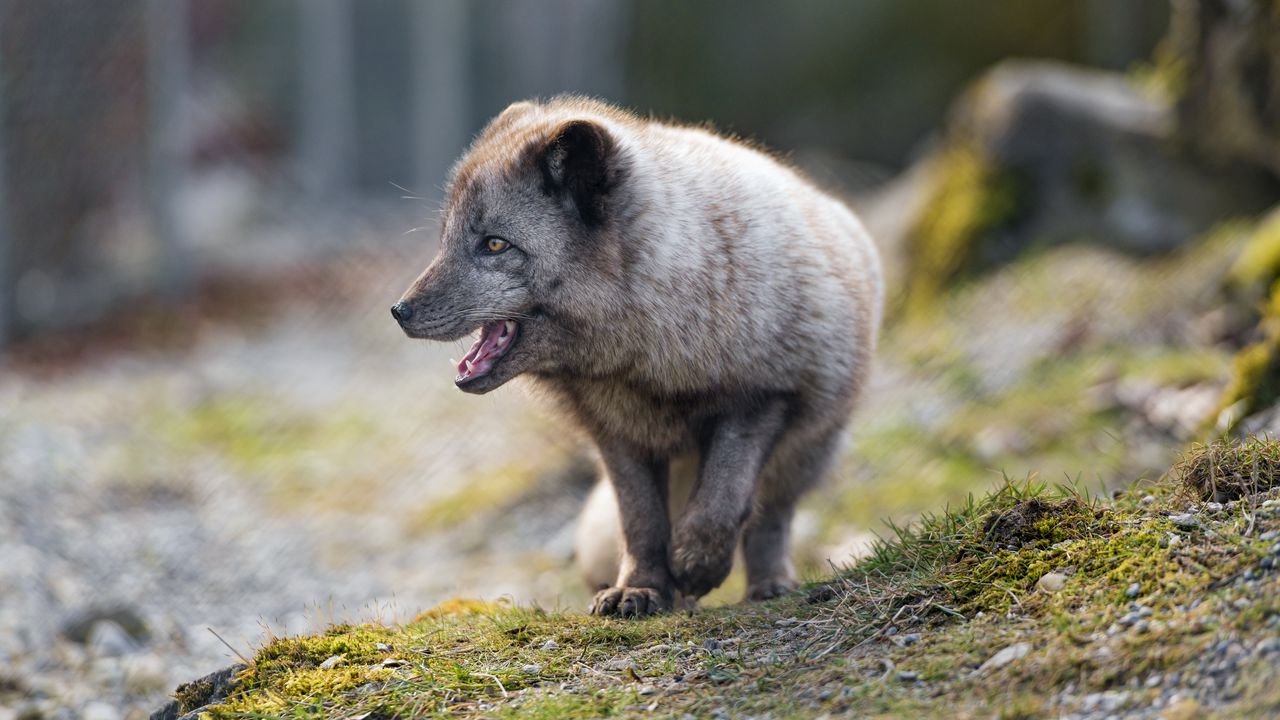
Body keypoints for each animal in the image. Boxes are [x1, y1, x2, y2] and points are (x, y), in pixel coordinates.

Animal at [394, 94, 885, 609]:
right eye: (445, 238)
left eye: (494, 244)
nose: (399, 311)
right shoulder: (616, 434)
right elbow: (641, 521)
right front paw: (640, 588)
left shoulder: (765, 395)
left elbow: (722, 500)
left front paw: (697, 563)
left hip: (809, 449)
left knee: (770, 517)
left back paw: (770, 585)